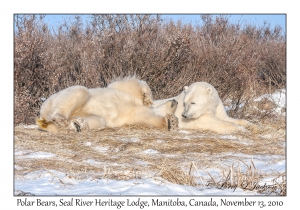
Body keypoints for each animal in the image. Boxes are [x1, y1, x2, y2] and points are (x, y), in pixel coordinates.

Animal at [37, 76, 178, 133]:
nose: (175, 101)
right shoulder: (122, 91)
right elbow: (130, 84)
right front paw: (147, 98)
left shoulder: (136, 116)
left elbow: (150, 120)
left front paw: (171, 123)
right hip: (56, 98)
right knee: (80, 91)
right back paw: (61, 119)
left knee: (98, 120)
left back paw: (78, 125)